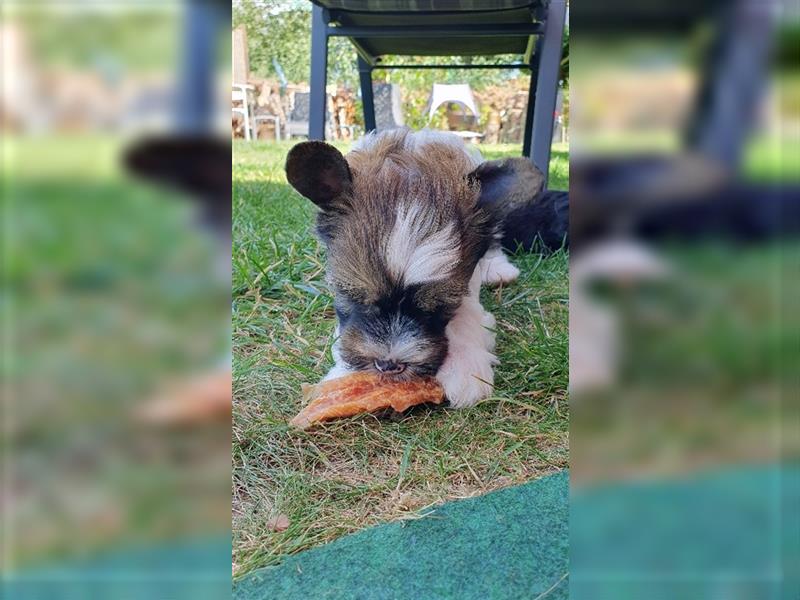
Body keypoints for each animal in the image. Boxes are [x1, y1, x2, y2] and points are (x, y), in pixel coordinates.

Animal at [284, 128, 548, 406]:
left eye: (439, 309)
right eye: (353, 297)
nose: (389, 364)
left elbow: (467, 315)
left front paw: (465, 367)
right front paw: (342, 377)